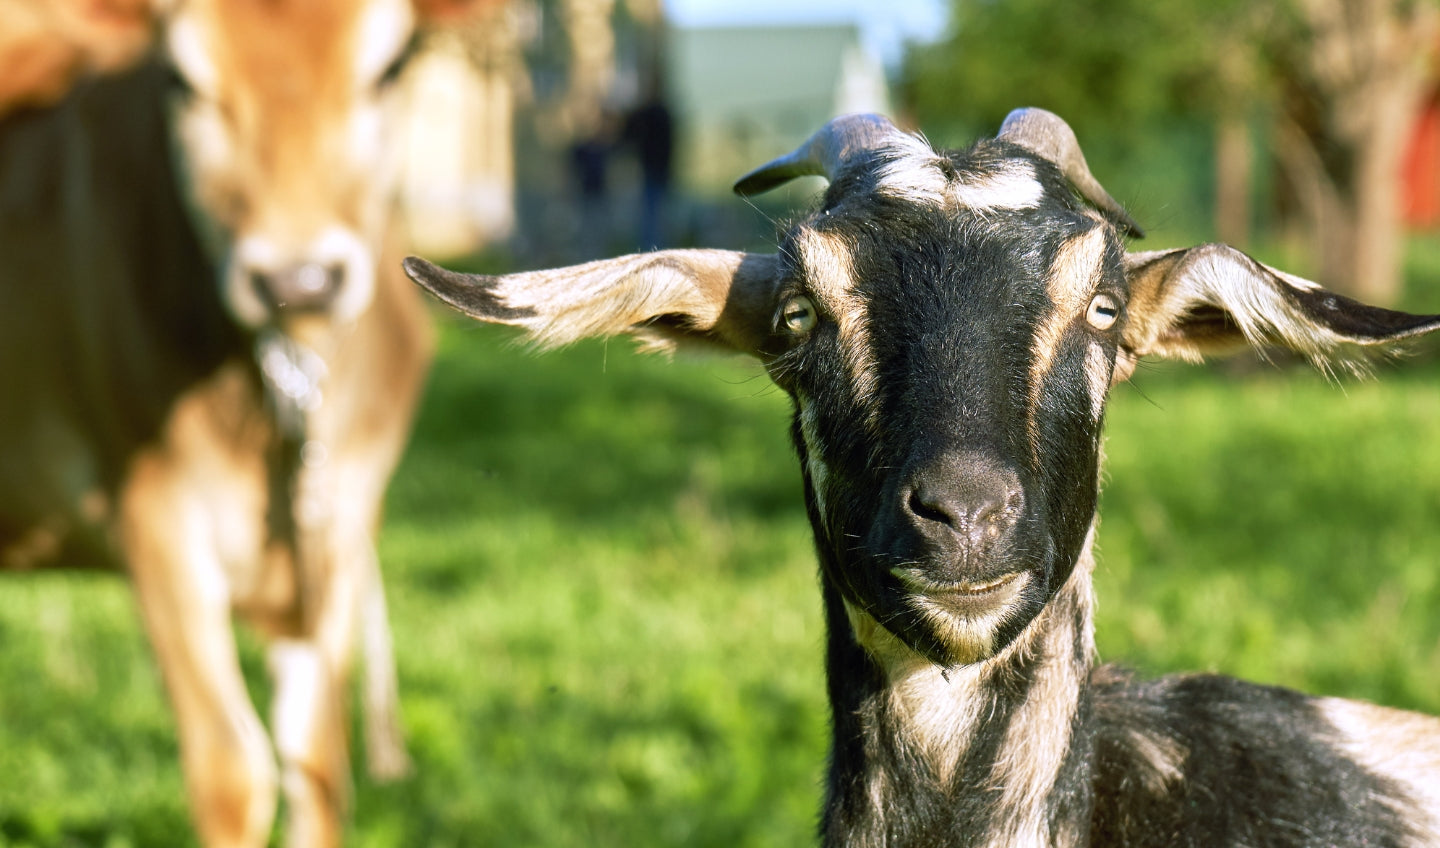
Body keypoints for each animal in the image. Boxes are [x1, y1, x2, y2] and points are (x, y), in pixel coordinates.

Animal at [0, 0, 484, 844]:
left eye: (389, 68)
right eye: (179, 78)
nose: (299, 278)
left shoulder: (342, 519)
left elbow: (316, 764)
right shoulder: (152, 512)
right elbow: (232, 769)